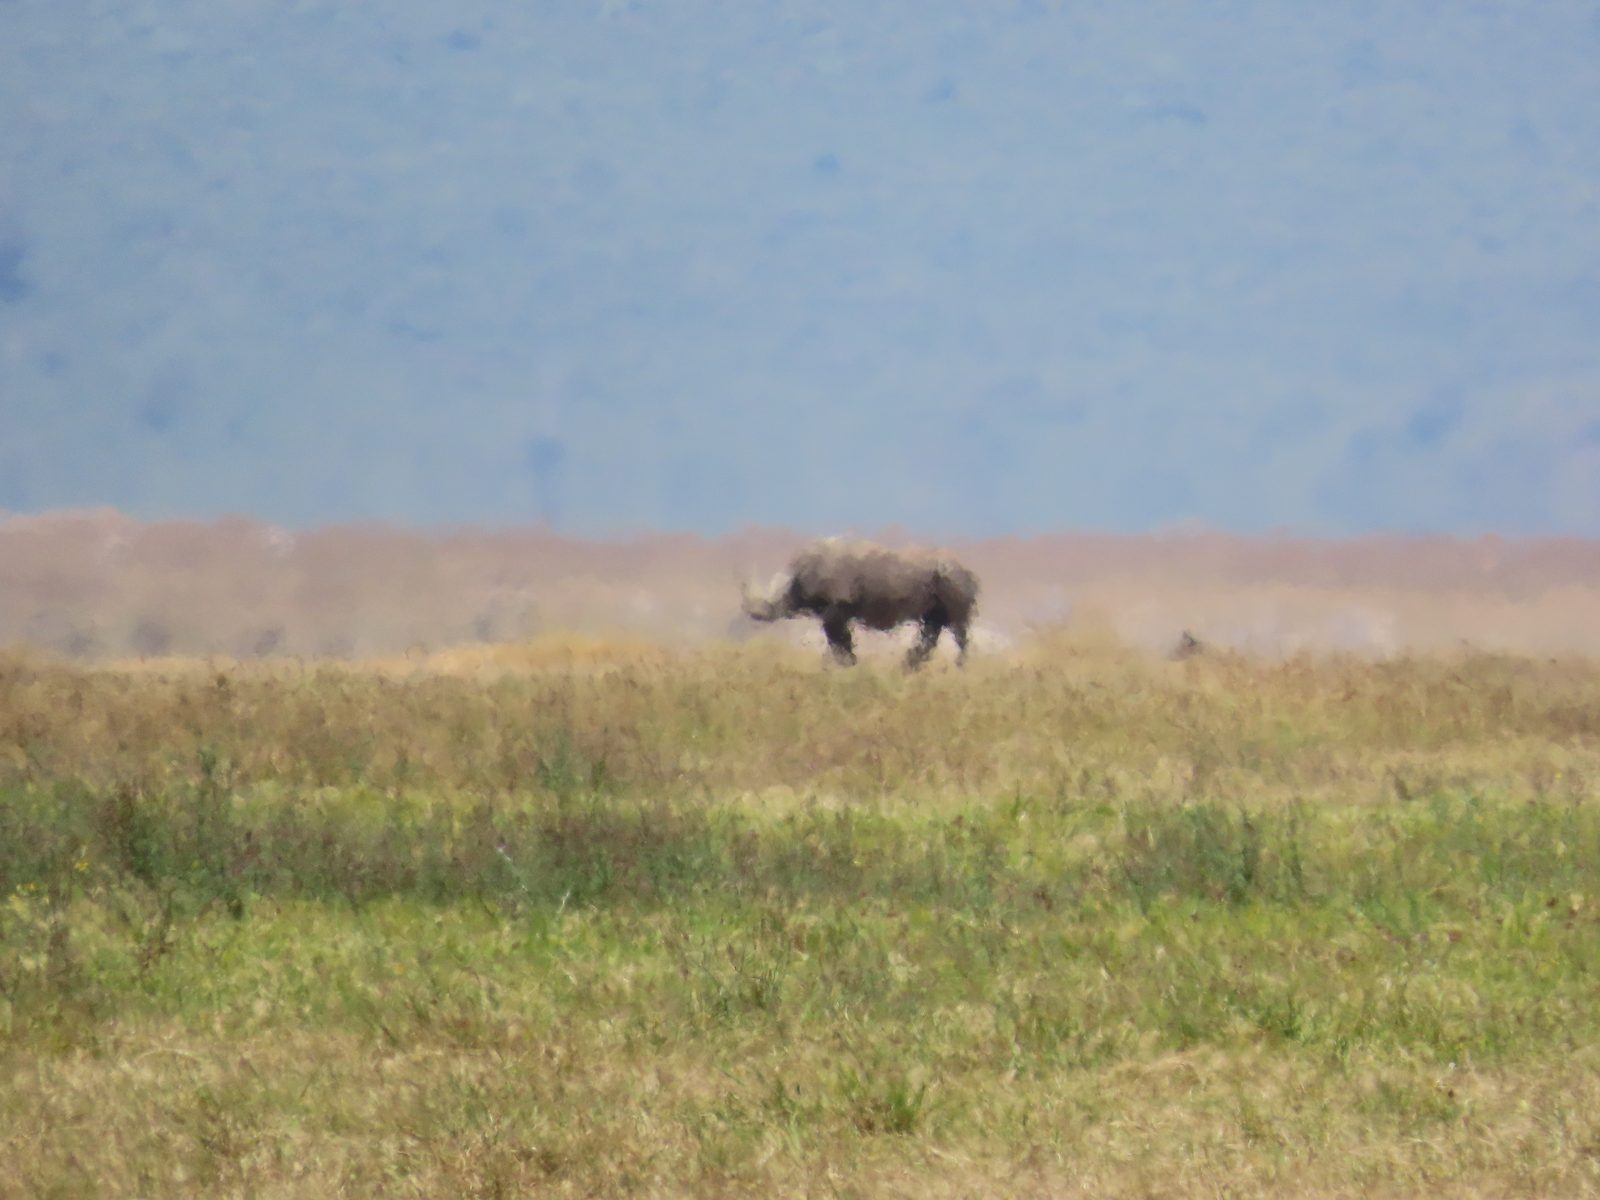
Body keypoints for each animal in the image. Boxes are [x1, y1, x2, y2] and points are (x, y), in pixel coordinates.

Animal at [741, 538, 980, 668]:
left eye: (790, 599)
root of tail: (969, 573)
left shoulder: (837, 608)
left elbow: (840, 641)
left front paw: (849, 665)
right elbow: (838, 642)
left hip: (953, 581)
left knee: (958, 629)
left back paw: (960, 668)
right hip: (938, 598)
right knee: (932, 628)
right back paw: (908, 667)